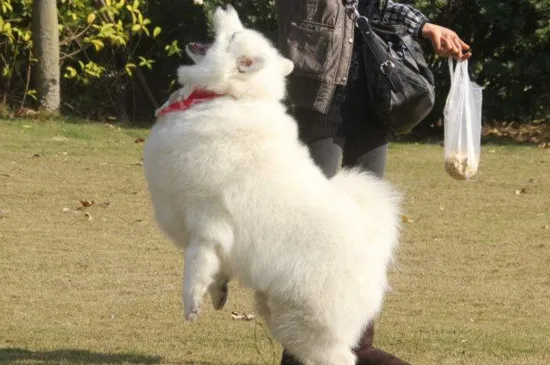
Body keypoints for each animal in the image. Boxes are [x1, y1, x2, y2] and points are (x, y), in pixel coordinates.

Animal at [143, 5, 402, 364]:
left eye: (233, 34)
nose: (225, 7)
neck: (230, 97)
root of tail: (372, 244)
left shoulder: (207, 221)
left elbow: (195, 265)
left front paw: (191, 303)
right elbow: (216, 269)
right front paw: (218, 293)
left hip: (305, 321)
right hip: (279, 311)